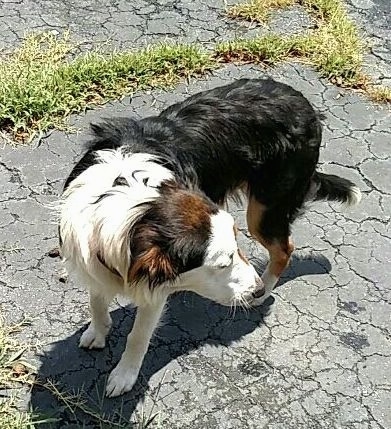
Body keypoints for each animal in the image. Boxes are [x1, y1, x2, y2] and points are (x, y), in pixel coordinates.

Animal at [58, 77, 362, 398]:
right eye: (221, 264)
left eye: (234, 252)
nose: (254, 290)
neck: (131, 206)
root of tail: (303, 103)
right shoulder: (91, 257)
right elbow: (96, 300)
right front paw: (98, 331)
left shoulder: (156, 287)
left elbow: (138, 335)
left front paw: (124, 375)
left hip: (264, 210)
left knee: (284, 249)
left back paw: (265, 289)